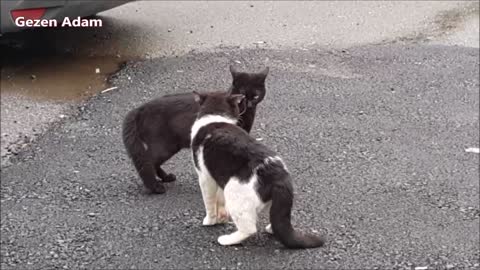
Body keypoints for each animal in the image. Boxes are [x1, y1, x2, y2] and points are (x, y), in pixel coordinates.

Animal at [122, 65, 268, 194]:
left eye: (256, 96)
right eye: (242, 93)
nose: (249, 104)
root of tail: (140, 108)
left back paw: (166, 178)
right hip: (165, 146)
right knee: (147, 161)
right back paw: (155, 186)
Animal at [189, 91, 324, 249]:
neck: (215, 117)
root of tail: (277, 174)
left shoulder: (205, 177)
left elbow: (209, 202)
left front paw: (210, 220)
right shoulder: (219, 175)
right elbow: (219, 200)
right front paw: (222, 217)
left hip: (234, 193)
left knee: (250, 229)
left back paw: (227, 239)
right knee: (278, 219)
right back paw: (271, 228)